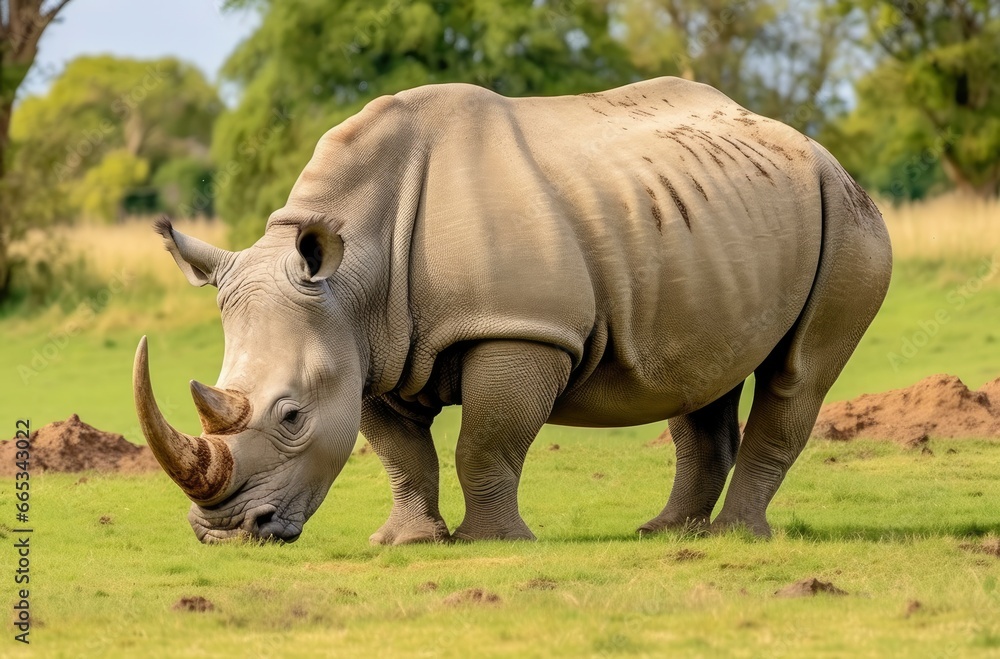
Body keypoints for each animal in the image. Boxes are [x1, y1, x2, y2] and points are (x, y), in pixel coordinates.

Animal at [133, 77, 891, 544]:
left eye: (291, 416)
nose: (223, 533)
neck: (353, 274)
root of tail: (819, 149)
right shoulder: (366, 345)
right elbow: (402, 453)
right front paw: (406, 542)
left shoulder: (519, 331)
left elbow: (486, 440)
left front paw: (489, 541)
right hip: (714, 220)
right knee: (702, 379)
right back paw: (666, 532)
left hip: (849, 218)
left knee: (798, 374)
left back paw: (735, 536)